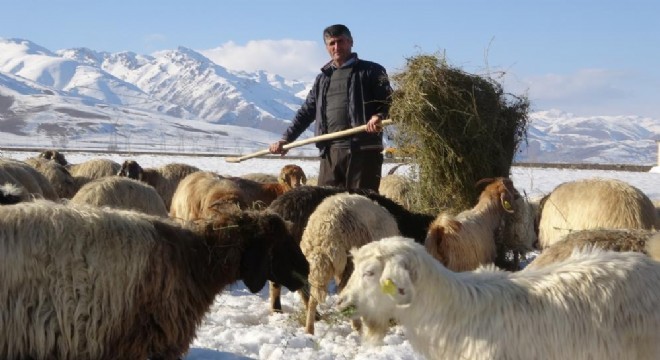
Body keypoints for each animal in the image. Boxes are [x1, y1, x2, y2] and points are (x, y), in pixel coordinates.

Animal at [300, 193, 402, 336]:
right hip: (349, 262)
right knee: (344, 291)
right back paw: (357, 325)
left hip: (319, 269)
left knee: (314, 297)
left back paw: (309, 330)